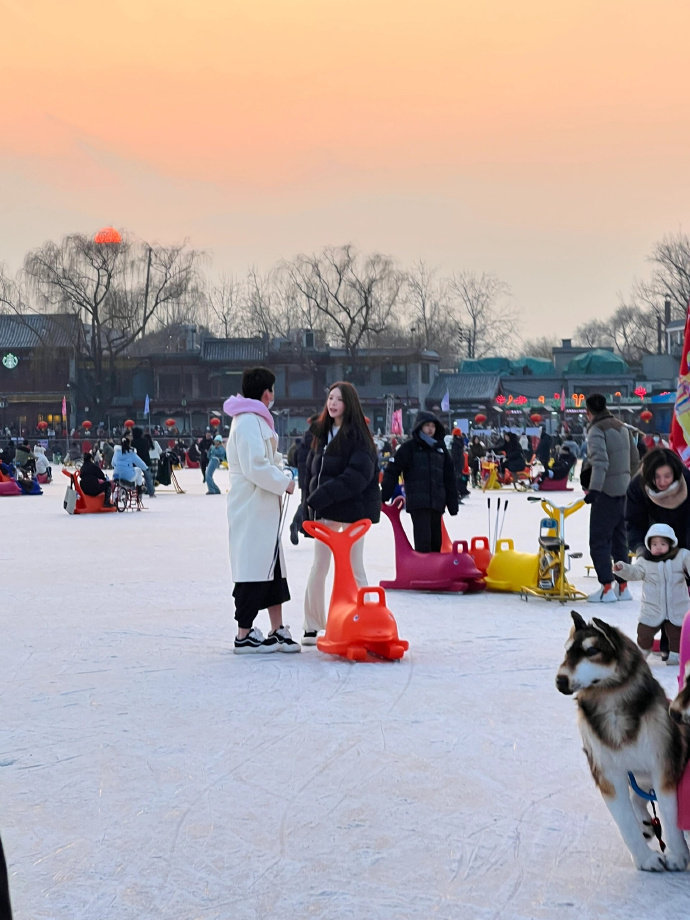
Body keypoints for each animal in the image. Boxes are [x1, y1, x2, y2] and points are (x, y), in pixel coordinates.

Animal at [552, 612, 688, 868]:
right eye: (567, 651)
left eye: (592, 650)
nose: (560, 681)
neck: (611, 703)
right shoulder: (608, 773)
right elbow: (625, 822)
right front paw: (646, 859)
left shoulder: (662, 764)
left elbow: (670, 813)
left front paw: (677, 855)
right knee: (637, 798)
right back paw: (645, 822)